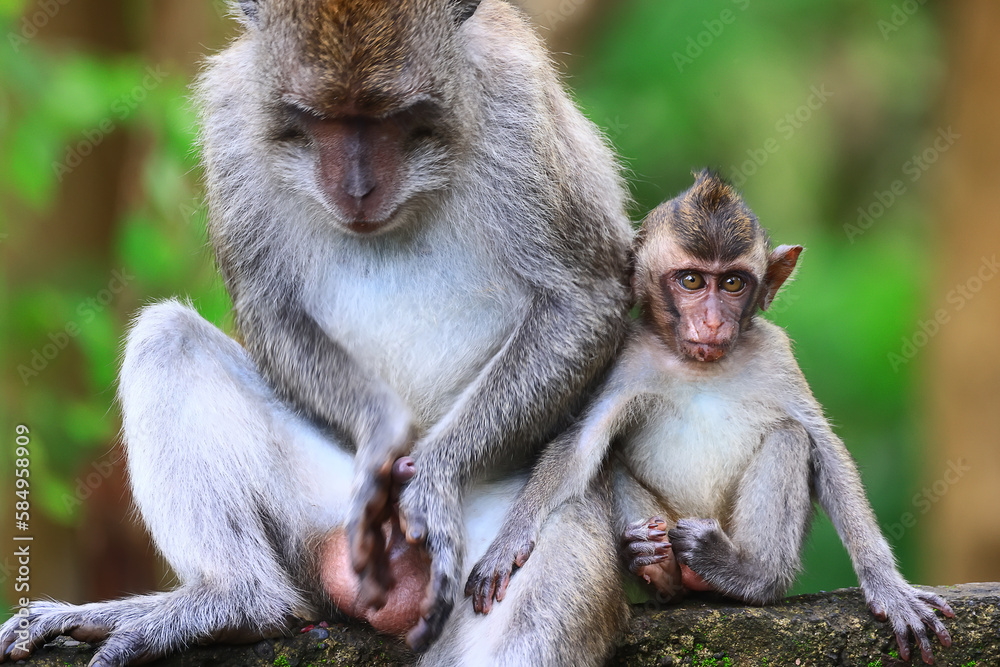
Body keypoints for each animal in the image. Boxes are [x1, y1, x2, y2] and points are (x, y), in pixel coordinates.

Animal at [0, 1, 632, 665]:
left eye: (392, 118)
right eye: (318, 118)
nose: (356, 189)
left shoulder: (519, 105)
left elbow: (582, 298)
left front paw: (432, 480)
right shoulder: (233, 118)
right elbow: (270, 311)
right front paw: (383, 433)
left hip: (516, 534)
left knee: (528, 623)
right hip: (325, 516)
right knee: (166, 338)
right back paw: (234, 600)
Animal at [466, 170, 955, 664]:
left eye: (734, 283)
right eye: (691, 280)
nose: (714, 322)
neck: (697, 365)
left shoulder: (776, 355)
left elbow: (825, 449)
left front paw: (889, 588)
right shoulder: (626, 360)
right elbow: (582, 445)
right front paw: (508, 543)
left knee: (790, 438)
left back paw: (743, 573)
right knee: (609, 460)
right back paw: (660, 570)